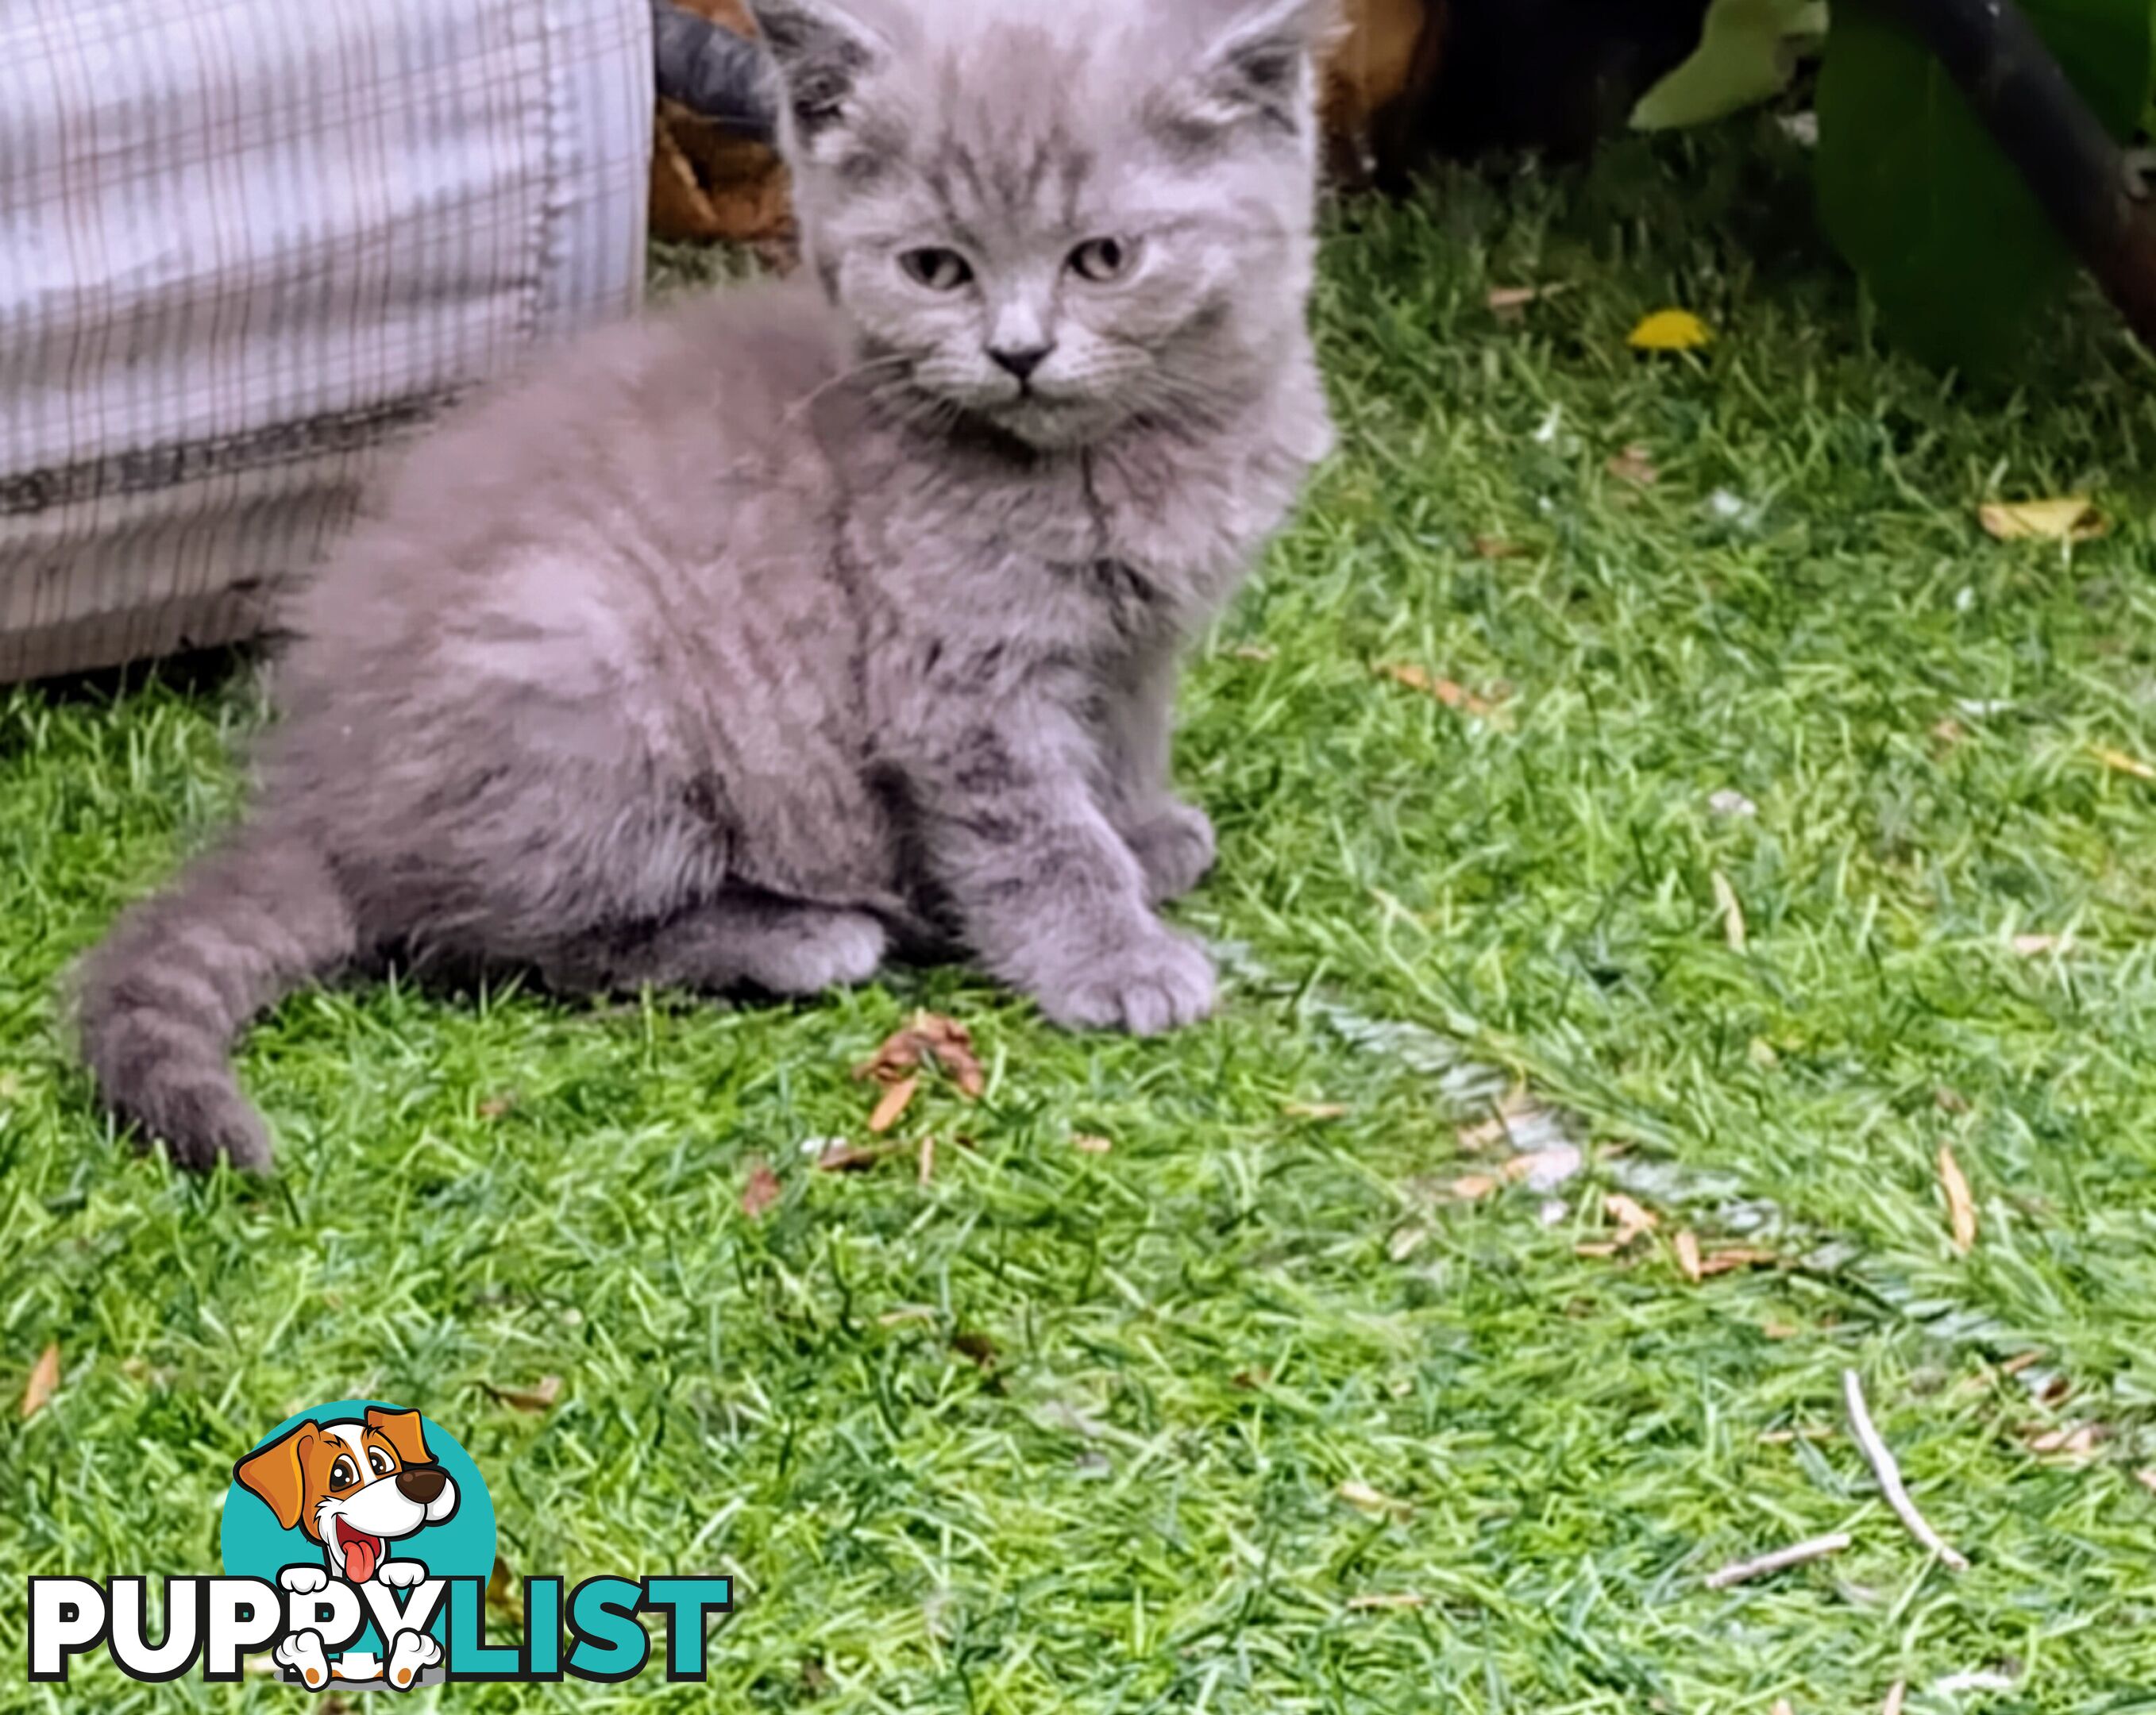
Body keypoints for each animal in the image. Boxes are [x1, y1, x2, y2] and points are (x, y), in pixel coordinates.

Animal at [71, 0, 1328, 1172]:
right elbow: (1032, 830)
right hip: (579, 663)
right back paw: (800, 937)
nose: (1016, 352)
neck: (1112, 459)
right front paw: (1111, 956)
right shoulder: (957, 681)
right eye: (935, 268)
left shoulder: (1137, 638)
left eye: (1102, 258)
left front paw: (1143, 833)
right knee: (489, 938)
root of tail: (316, 804)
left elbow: (1121, 741)